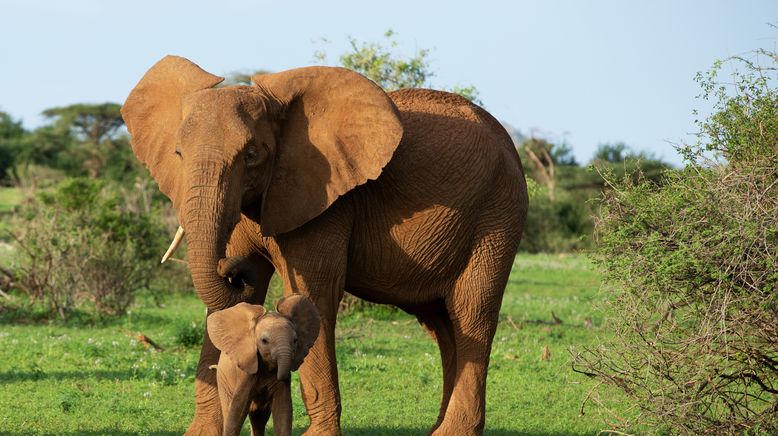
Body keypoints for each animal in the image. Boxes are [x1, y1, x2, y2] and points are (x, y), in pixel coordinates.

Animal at [206, 294, 322, 434]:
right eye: (264, 341)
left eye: (295, 341)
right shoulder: (246, 370)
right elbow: (237, 410)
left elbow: (283, 408)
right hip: (223, 380)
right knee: (230, 409)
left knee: (259, 417)